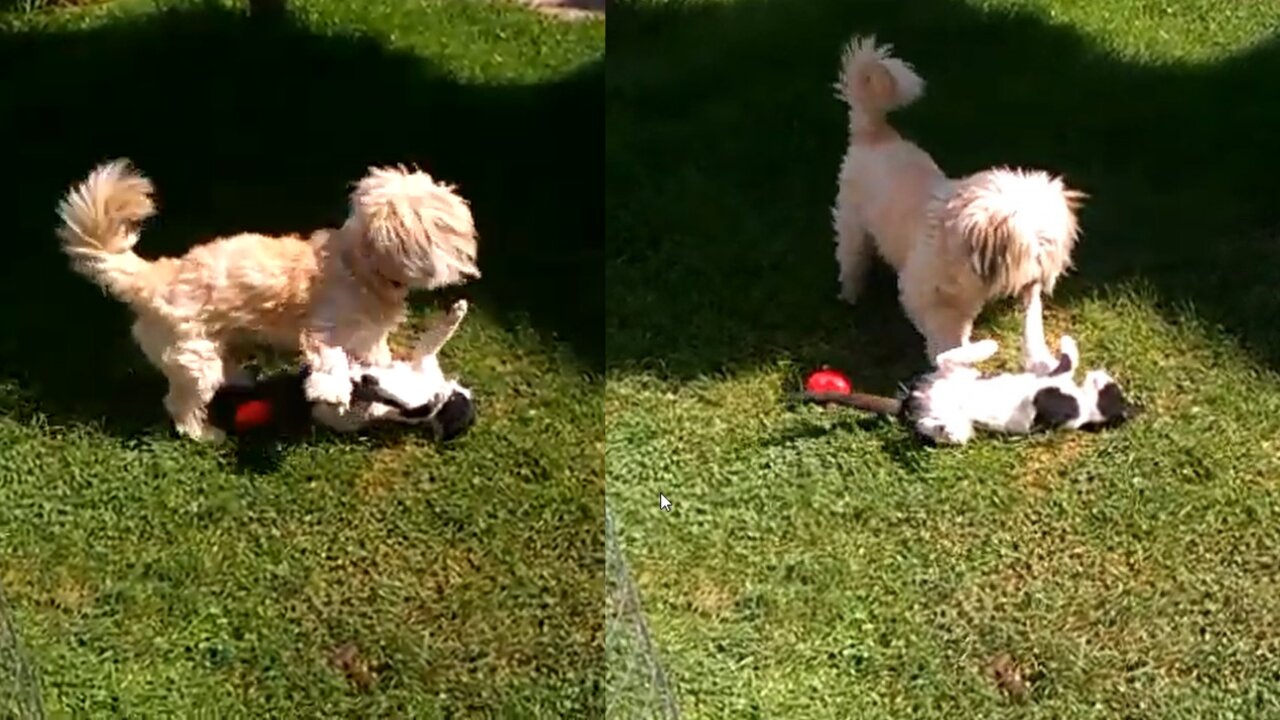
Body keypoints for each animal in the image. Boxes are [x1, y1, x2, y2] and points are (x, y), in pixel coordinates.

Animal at [55, 158, 481, 438]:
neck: (360, 267)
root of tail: (152, 277)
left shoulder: (369, 338)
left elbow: (376, 357)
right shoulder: (323, 327)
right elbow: (329, 359)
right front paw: (336, 390)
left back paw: (241, 378)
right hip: (195, 358)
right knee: (181, 405)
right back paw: (204, 433)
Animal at [834, 36, 1085, 366]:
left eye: (1051, 247)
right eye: (1034, 249)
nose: (1042, 281)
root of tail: (875, 133)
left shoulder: (963, 304)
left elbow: (959, 330)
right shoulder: (920, 292)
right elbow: (941, 334)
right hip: (852, 225)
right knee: (852, 257)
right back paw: (851, 293)